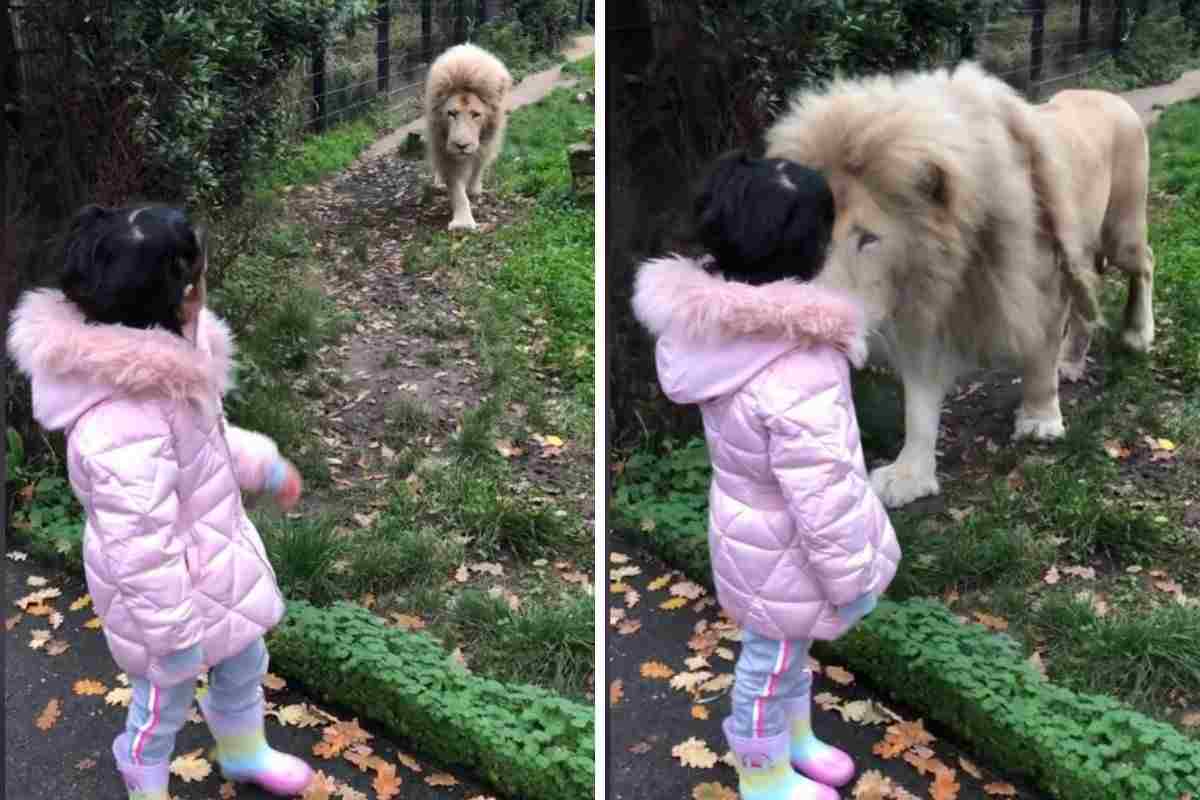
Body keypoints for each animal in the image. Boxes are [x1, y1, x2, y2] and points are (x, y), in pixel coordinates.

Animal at [424, 42, 513, 231]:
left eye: (475, 114)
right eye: (451, 113)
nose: (461, 146)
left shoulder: (486, 144)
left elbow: (477, 168)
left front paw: (473, 189)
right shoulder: (446, 151)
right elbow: (457, 189)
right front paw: (462, 222)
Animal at [768, 65, 1152, 510]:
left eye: (868, 238)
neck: (949, 265)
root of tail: (1110, 96)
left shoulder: (1038, 293)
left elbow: (1038, 360)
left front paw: (1039, 421)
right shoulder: (922, 319)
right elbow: (918, 406)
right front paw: (910, 475)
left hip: (1121, 231)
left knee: (1145, 264)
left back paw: (1139, 334)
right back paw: (1071, 363)